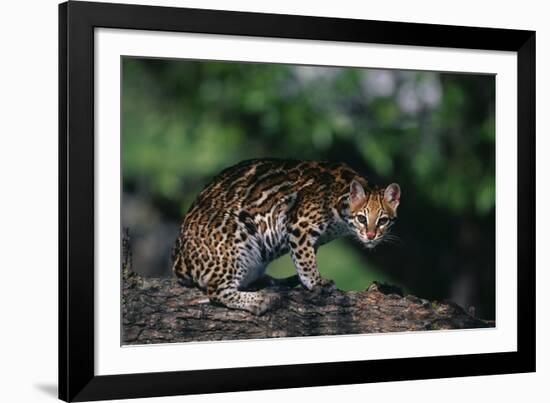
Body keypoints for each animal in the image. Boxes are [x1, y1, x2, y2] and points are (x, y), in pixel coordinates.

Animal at [172, 158, 402, 316]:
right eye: (362, 218)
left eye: (383, 221)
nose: (371, 235)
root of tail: (178, 261)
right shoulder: (299, 225)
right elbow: (305, 260)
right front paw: (316, 282)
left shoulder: (313, 239)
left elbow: (305, 257)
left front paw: (305, 280)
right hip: (236, 237)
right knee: (216, 291)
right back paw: (259, 300)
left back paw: (276, 282)